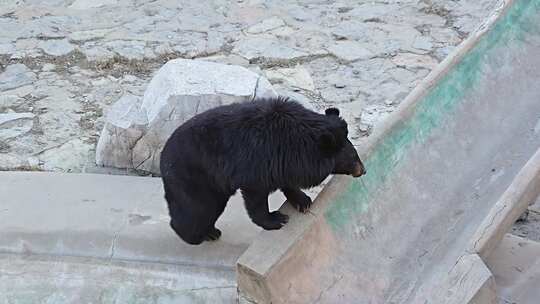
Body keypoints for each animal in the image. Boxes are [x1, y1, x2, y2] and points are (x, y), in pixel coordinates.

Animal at [158, 96, 364, 246]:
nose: (363, 170)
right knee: (197, 210)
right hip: (196, 178)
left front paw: (303, 201)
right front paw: (277, 220)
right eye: (353, 157)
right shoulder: (258, 162)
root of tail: (163, 156)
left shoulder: (283, 161)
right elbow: (256, 197)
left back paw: (210, 232)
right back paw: (199, 235)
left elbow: (287, 181)